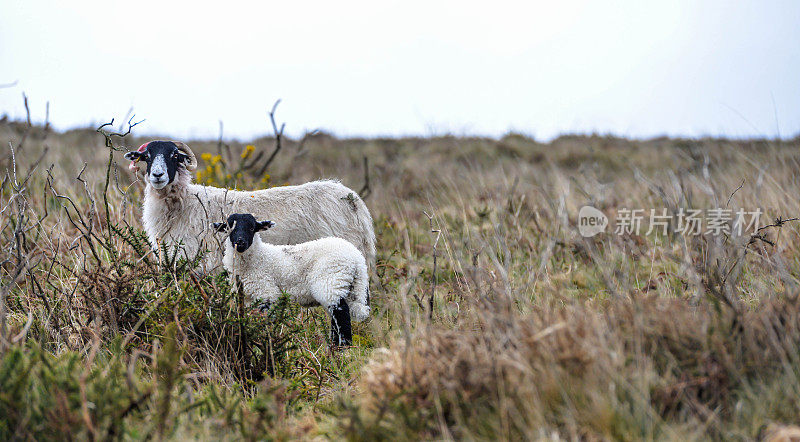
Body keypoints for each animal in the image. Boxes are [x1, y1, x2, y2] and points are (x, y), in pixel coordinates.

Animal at [211, 212, 370, 348]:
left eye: (251, 228)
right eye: (229, 228)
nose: (240, 242)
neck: (258, 257)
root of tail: (358, 259)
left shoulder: (267, 292)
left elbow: (266, 319)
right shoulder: (248, 297)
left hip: (331, 281)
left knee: (341, 313)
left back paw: (341, 347)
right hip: (348, 286)